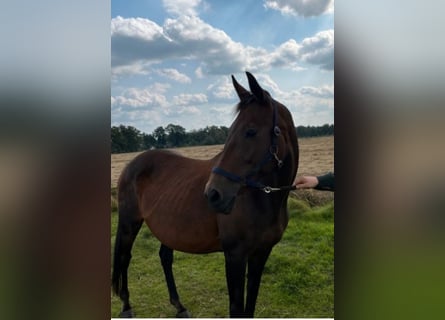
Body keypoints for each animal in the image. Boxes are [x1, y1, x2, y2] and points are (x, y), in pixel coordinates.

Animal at [111, 72, 298, 318]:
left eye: (250, 131)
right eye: (230, 132)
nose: (213, 194)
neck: (264, 201)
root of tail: (131, 165)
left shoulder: (261, 254)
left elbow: (250, 305)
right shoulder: (235, 256)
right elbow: (236, 308)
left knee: (165, 258)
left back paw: (179, 306)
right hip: (129, 222)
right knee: (124, 257)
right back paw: (126, 306)